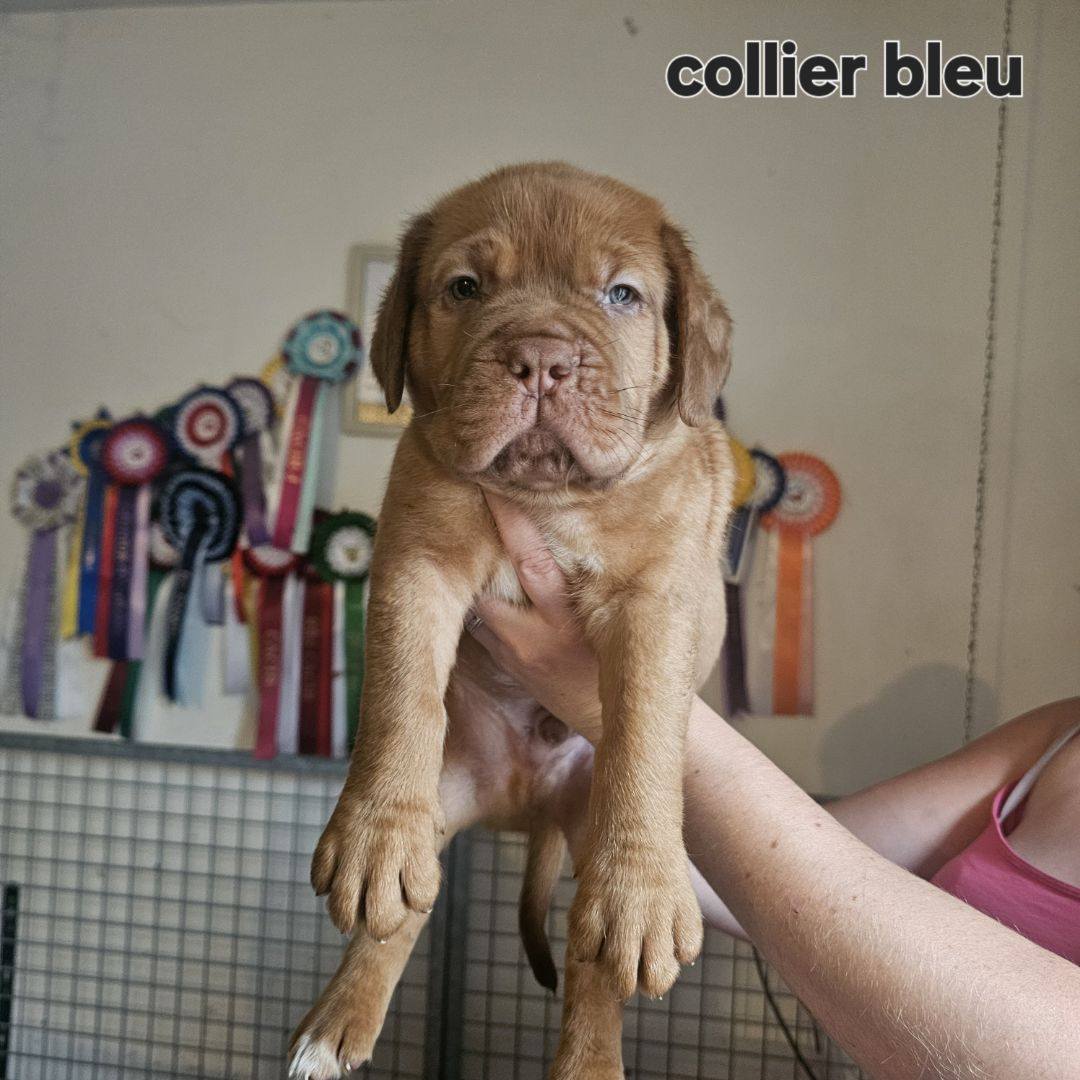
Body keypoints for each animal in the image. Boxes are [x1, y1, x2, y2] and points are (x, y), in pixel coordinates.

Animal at [289, 161, 735, 1079]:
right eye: (464, 287)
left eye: (623, 294)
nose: (540, 359)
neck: (549, 495)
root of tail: (525, 809)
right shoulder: (416, 561)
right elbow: (400, 697)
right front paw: (371, 836)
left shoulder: (658, 601)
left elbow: (644, 728)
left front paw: (645, 889)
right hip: (445, 795)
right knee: (407, 903)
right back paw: (334, 1022)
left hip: (588, 832)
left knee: (594, 950)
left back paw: (592, 1052)